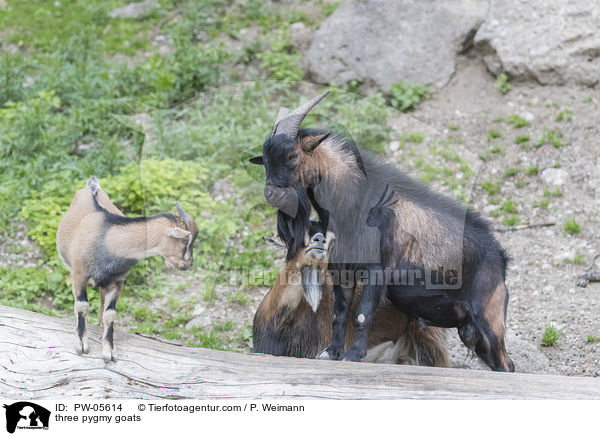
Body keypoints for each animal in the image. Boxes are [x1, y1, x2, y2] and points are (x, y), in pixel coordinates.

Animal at [56, 175, 198, 362]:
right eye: (184, 241)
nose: (188, 264)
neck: (108, 240)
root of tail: (92, 186)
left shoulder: (117, 282)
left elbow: (110, 314)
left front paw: (109, 350)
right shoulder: (79, 273)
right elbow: (82, 306)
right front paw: (81, 344)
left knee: (101, 305)